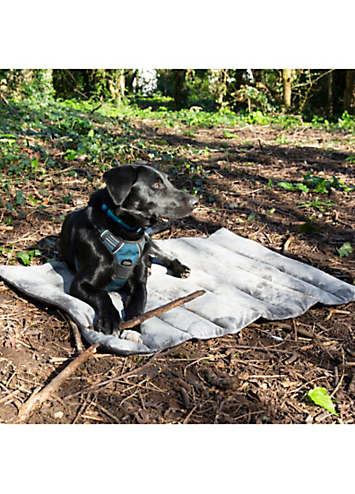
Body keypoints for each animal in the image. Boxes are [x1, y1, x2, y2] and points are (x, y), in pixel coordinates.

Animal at [60, 164, 199, 342]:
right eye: (156, 185)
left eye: (169, 181)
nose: (196, 202)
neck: (124, 232)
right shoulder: (80, 284)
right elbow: (102, 295)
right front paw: (110, 320)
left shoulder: (139, 285)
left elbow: (137, 306)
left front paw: (133, 330)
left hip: (147, 241)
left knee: (160, 253)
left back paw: (178, 268)